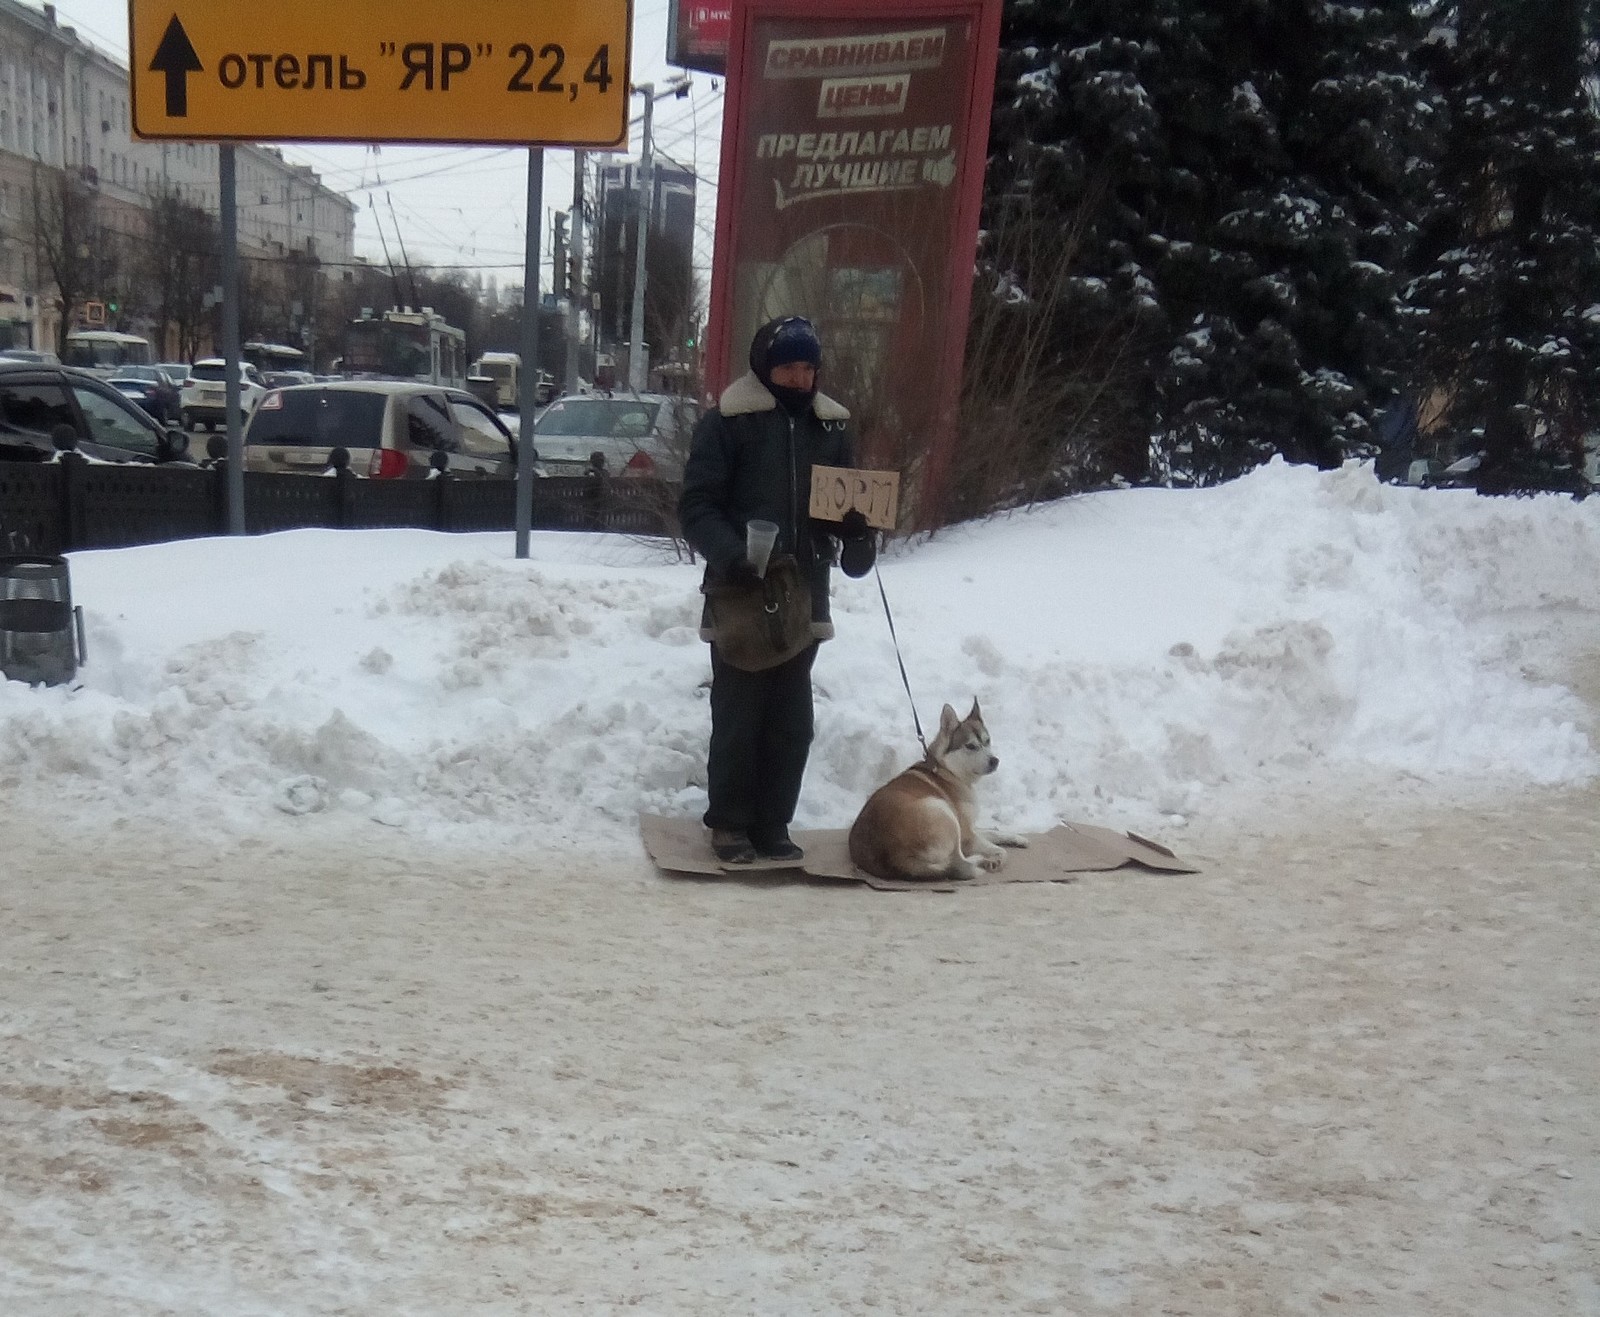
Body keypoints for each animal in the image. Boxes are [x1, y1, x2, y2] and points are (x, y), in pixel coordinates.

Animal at [844, 704, 1030, 883]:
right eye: (971, 746)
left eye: (987, 741)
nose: (995, 760)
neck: (948, 770)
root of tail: (895, 857)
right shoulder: (966, 834)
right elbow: (1000, 850)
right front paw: (996, 858)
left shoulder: (968, 827)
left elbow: (993, 832)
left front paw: (1017, 838)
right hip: (940, 808)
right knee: (960, 863)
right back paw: (978, 860)